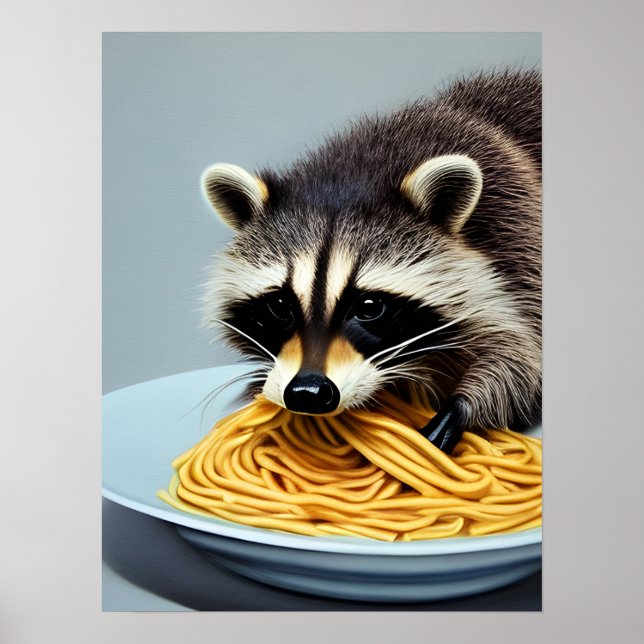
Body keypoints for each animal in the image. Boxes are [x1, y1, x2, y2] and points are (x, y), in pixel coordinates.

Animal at [201, 69, 541, 453]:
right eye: (279, 305)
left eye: (369, 307)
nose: (307, 393)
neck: (355, 174)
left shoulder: (517, 236)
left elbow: (519, 355)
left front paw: (461, 408)